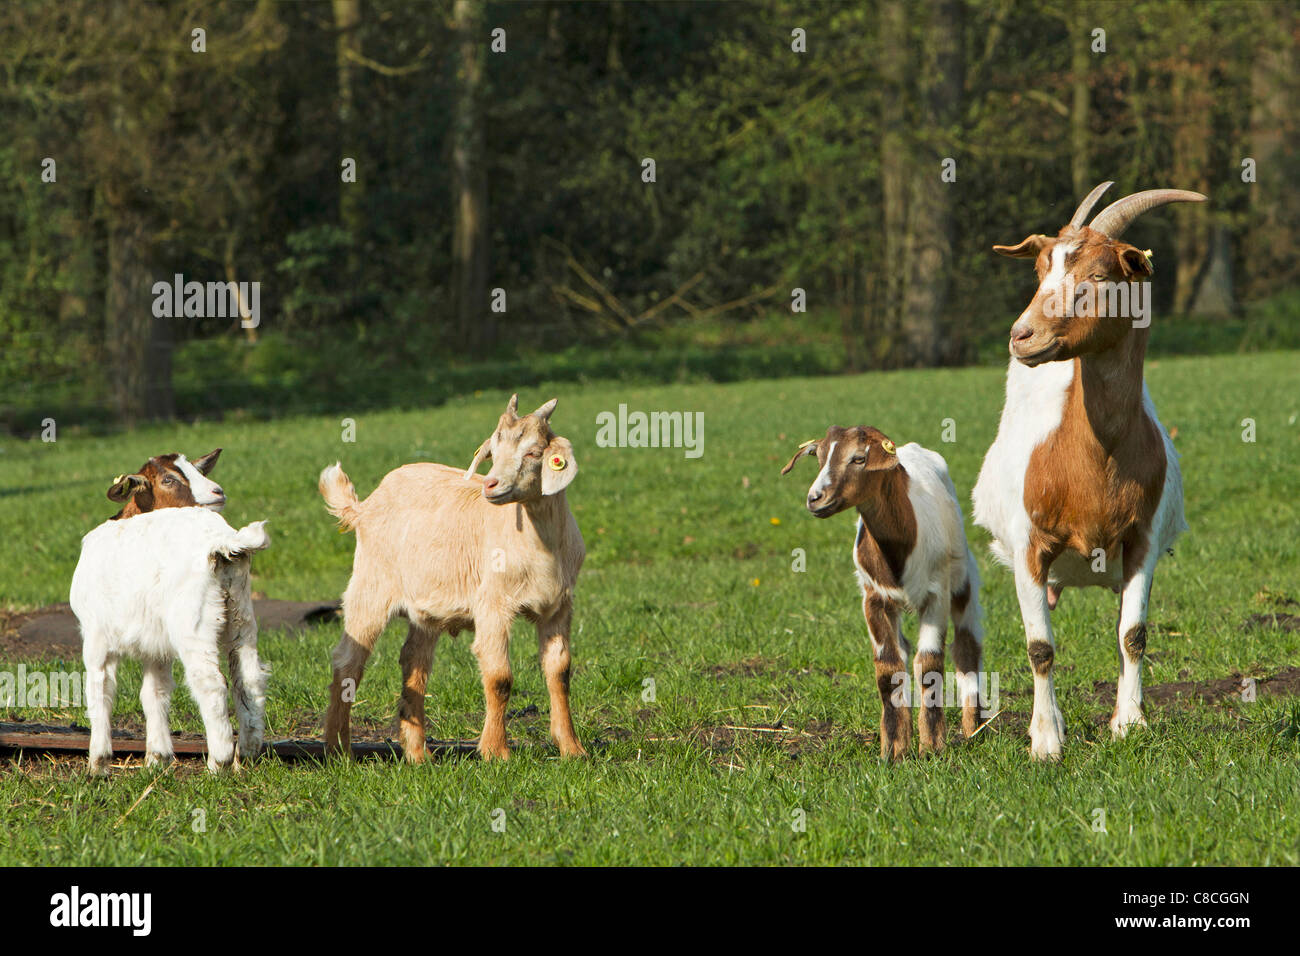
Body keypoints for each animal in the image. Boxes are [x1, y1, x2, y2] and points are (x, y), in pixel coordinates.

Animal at [70, 508, 271, 774]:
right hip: (241, 615)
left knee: (211, 685)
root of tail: (221, 541)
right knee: (249, 679)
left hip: (193, 624)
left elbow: (99, 691)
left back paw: (218, 762)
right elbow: (154, 692)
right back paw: (246, 753)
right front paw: (157, 757)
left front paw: (98, 763)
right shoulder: (156, 649)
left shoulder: (96, 637)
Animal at [319, 394, 585, 762]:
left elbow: (560, 672)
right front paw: (496, 752)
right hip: (370, 587)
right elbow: (500, 678)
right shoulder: (492, 605)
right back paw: (338, 748)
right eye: (493, 452)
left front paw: (572, 748)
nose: (490, 484)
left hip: (424, 608)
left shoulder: (559, 606)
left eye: (534, 452)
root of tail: (365, 506)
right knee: (348, 660)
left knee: (414, 663)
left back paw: (418, 754)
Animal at [783, 426, 985, 759]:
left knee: (968, 644)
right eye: (820, 458)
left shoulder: (936, 596)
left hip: (962, 577)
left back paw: (973, 728)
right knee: (903, 649)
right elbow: (888, 665)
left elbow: (929, 663)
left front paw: (932, 745)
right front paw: (894, 748)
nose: (815, 498)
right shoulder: (873, 598)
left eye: (858, 458)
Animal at [972, 182, 1204, 760]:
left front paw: (1130, 723)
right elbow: (1039, 646)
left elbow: (1133, 635)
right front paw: (1045, 741)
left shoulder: (1143, 539)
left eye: (1100, 276)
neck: (1092, 464)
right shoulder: (1028, 547)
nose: (1023, 336)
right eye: (1040, 271)